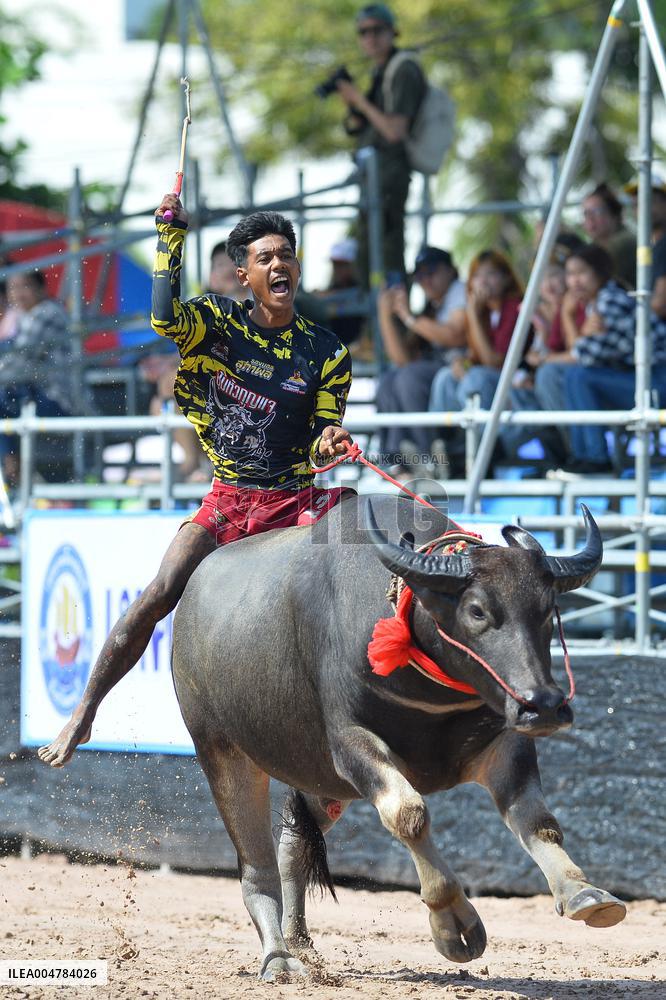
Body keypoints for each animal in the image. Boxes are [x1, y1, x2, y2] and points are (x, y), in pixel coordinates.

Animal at [171, 494, 626, 980]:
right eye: (477, 610)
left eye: (547, 610)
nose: (543, 704)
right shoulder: (352, 746)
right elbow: (409, 814)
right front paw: (454, 922)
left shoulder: (504, 743)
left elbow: (537, 819)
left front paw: (583, 893)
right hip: (222, 752)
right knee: (257, 867)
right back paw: (279, 959)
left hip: (323, 782)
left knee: (293, 846)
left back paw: (299, 942)